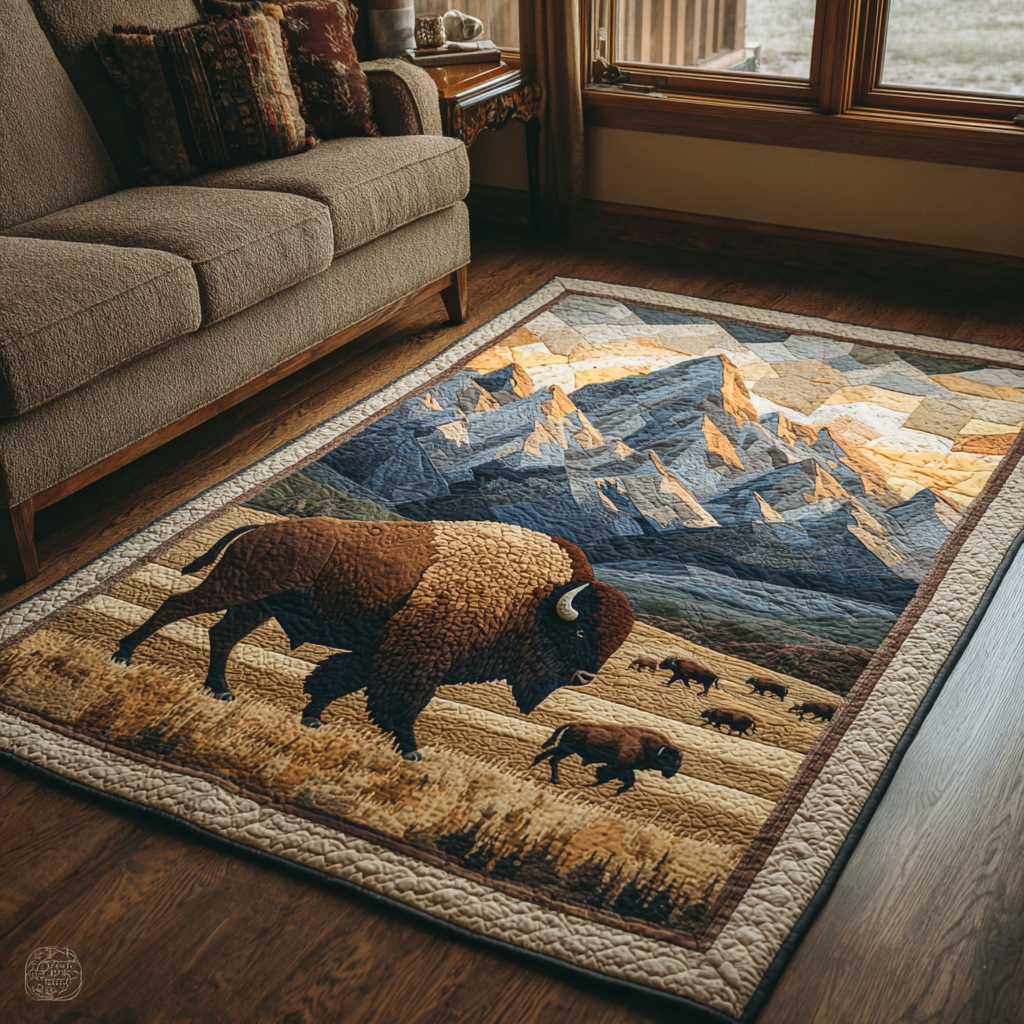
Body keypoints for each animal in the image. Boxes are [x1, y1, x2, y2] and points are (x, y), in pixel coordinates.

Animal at [112, 519, 634, 761]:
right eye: (582, 629)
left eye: (611, 644)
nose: (586, 676)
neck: (536, 598)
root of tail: (261, 529)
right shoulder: (415, 658)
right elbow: (398, 703)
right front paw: (412, 750)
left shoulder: (376, 650)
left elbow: (336, 678)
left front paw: (312, 718)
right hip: (236, 590)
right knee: (176, 607)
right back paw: (123, 654)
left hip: (255, 605)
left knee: (221, 634)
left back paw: (220, 690)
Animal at [533, 722, 681, 794]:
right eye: (673, 760)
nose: (671, 774)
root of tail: (573, 724)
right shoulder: (620, 765)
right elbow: (617, 776)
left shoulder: (623, 768)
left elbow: (629, 780)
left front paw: (617, 791)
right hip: (566, 749)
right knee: (552, 758)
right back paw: (553, 778)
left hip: (564, 749)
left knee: (549, 755)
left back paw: (536, 767)